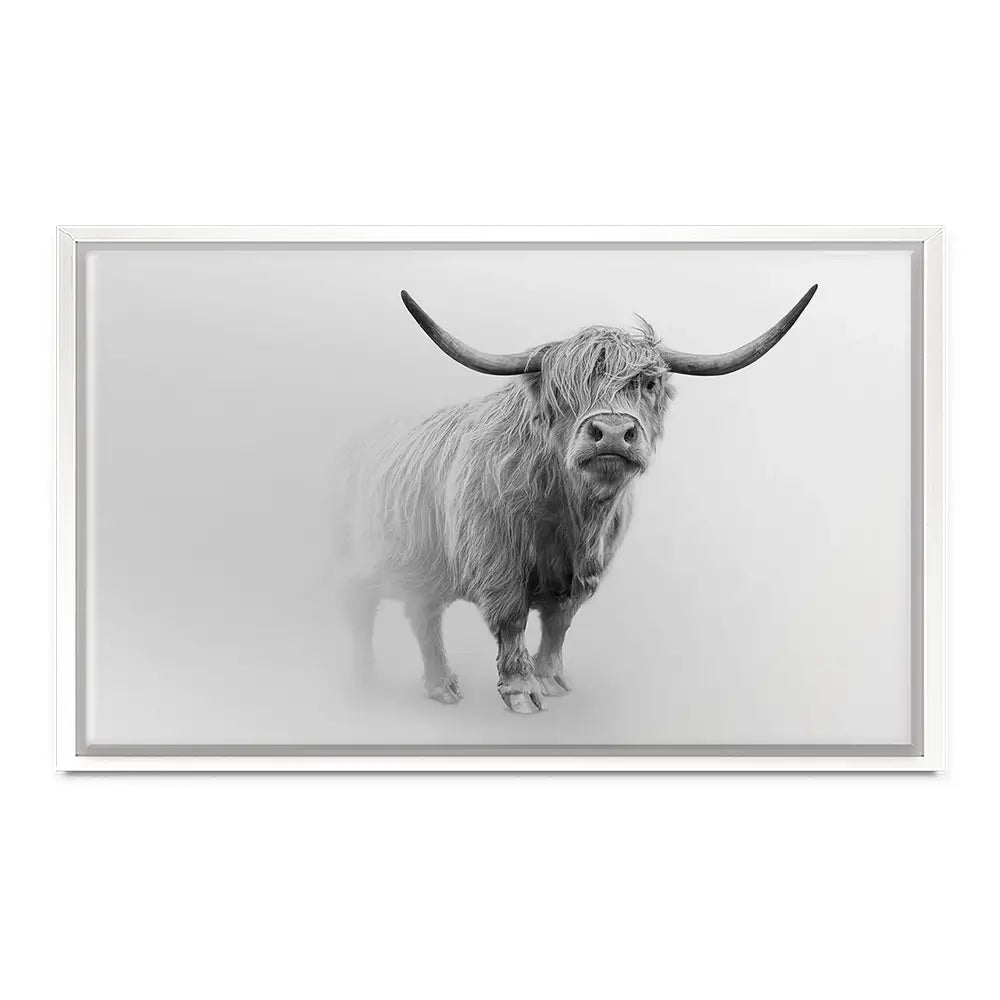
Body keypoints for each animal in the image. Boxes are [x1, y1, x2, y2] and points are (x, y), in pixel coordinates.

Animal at [336, 285, 818, 713]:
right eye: (562, 390)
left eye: (648, 383)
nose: (612, 432)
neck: (569, 511)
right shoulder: (496, 560)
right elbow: (511, 618)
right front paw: (521, 690)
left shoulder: (583, 570)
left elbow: (558, 622)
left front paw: (550, 680)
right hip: (364, 558)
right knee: (361, 605)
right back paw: (363, 678)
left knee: (423, 615)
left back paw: (440, 686)